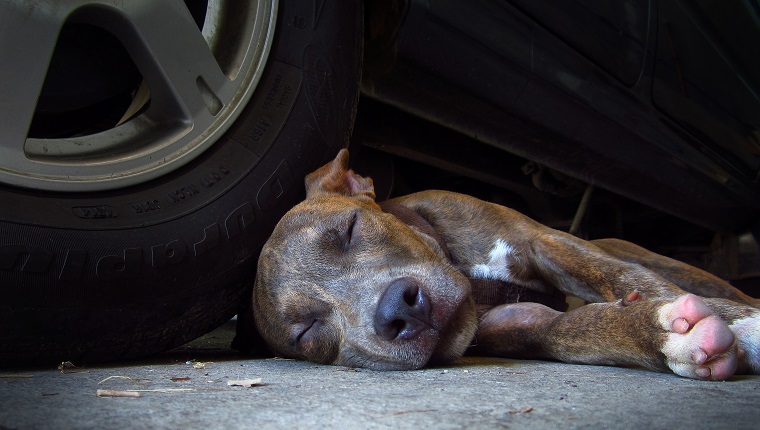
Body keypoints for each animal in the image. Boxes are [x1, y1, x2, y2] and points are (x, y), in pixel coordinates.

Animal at [242, 149, 756, 378]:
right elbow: (573, 330)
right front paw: (660, 334)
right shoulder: (518, 320)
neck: (473, 279)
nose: (399, 311)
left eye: (350, 228)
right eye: (307, 333)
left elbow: (629, 280)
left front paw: (746, 324)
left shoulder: (544, 242)